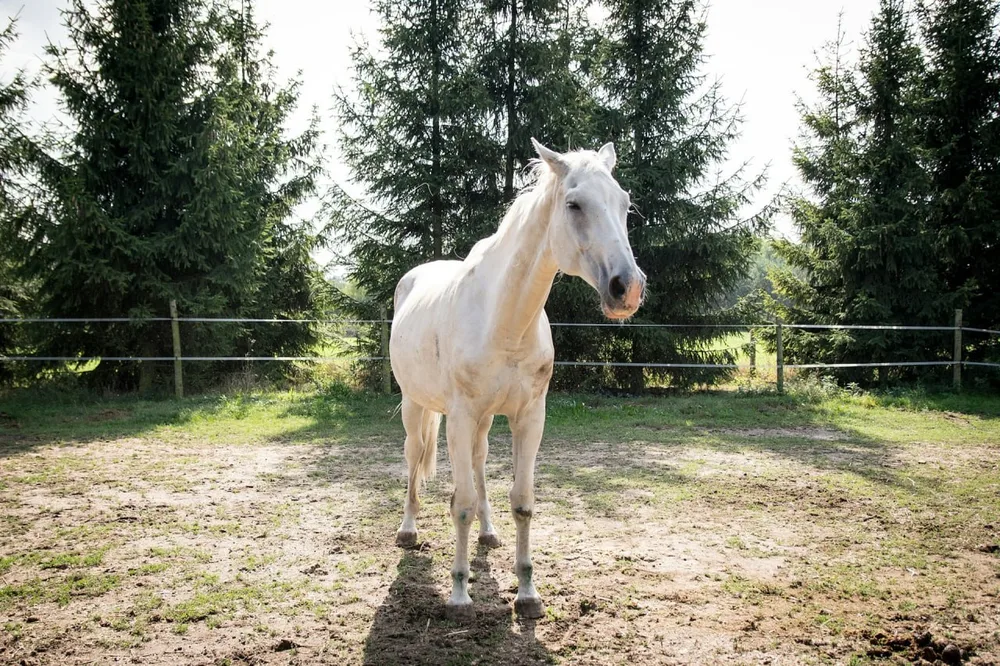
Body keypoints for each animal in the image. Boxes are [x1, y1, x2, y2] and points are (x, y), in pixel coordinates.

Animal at [389, 138, 646, 620]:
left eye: (624, 203)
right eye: (574, 204)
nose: (628, 288)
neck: (504, 319)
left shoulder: (529, 417)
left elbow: (522, 502)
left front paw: (528, 593)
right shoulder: (460, 416)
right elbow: (461, 505)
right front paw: (459, 597)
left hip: (485, 421)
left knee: (480, 462)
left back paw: (489, 533)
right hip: (417, 406)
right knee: (414, 459)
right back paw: (408, 530)